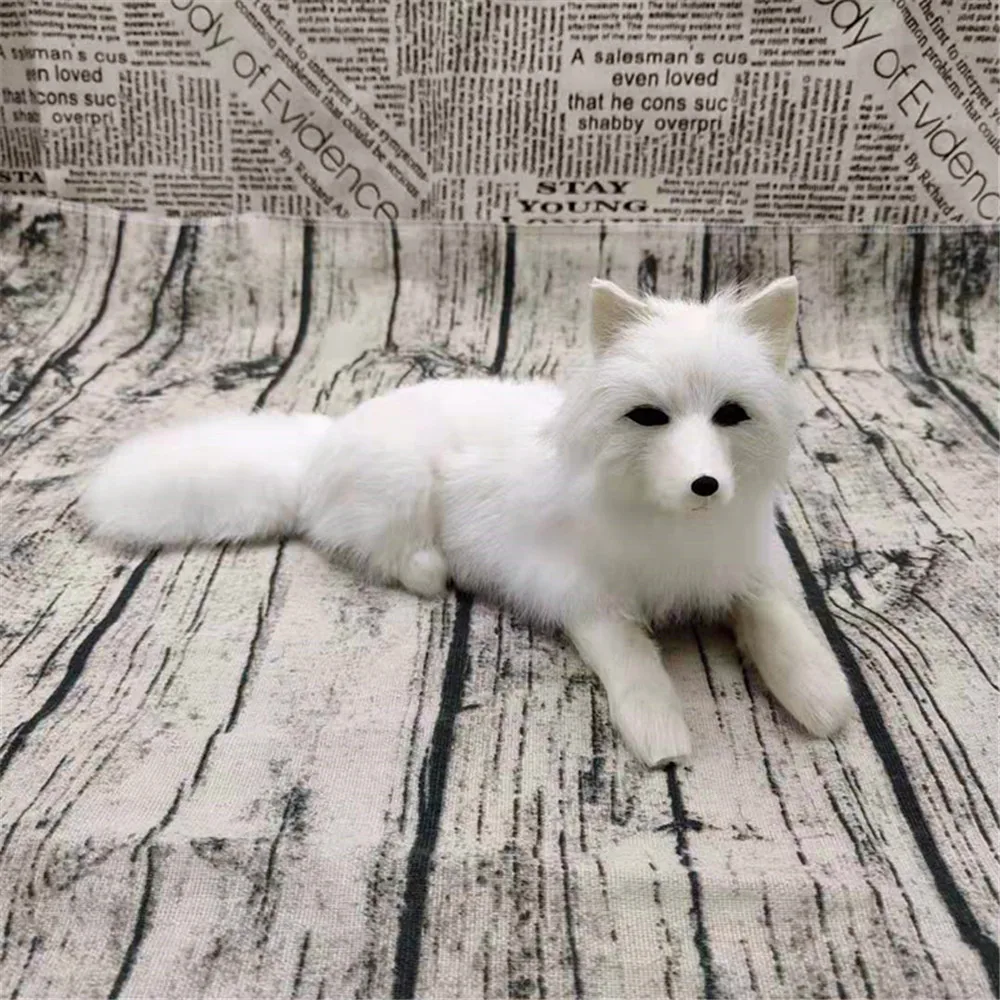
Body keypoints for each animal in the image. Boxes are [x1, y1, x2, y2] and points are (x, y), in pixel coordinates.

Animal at [84, 276, 855, 766]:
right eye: (648, 417)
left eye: (731, 415)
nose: (705, 484)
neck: (673, 532)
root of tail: (325, 441)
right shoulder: (586, 601)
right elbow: (634, 668)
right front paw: (661, 733)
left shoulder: (747, 575)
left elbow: (783, 630)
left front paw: (824, 701)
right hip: (403, 493)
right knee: (380, 551)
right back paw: (433, 569)